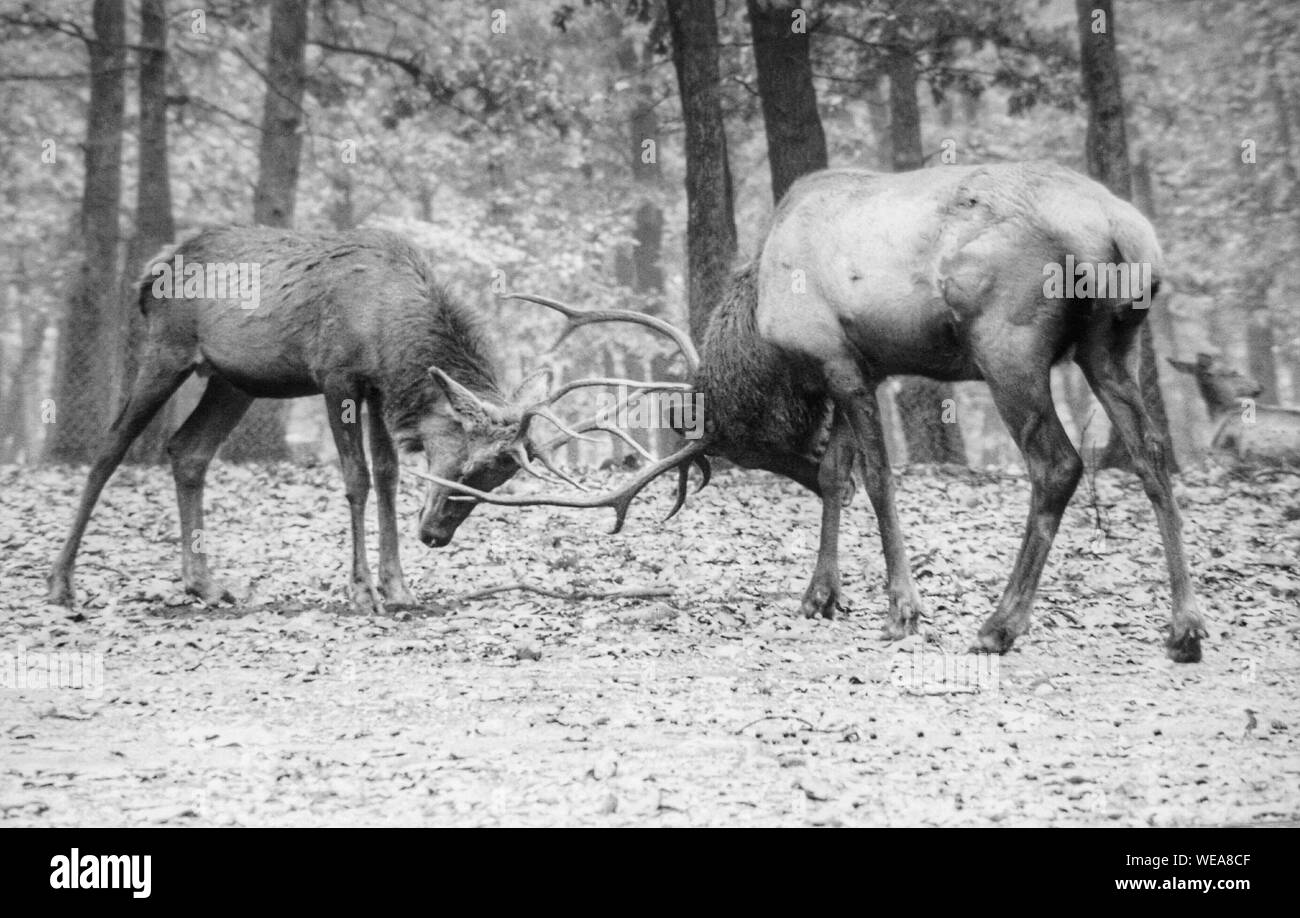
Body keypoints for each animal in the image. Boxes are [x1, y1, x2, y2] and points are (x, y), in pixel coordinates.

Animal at [46, 226, 683, 614]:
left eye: (500, 479)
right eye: (468, 466)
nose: (437, 536)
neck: (390, 336)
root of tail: (147, 276)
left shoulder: (379, 391)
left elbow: (388, 476)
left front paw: (399, 587)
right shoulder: (338, 376)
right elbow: (356, 478)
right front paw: (360, 592)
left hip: (235, 380)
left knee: (187, 450)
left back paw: (204, 582)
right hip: (167, 349)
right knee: (112, 445)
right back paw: (61, 583)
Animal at [424, 162, 1209, 663]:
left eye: (741, 445)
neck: (762, 326)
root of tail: (1126, 233)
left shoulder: (840, 359)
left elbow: (879, 479)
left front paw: (902, 608)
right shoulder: (856, 371)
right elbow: (838, 474)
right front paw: (821, 595)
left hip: (1008, 341)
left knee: (1058, 464)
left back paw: (998, 625)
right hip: (1113, 343)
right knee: (1151, 456)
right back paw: (1184, 628)